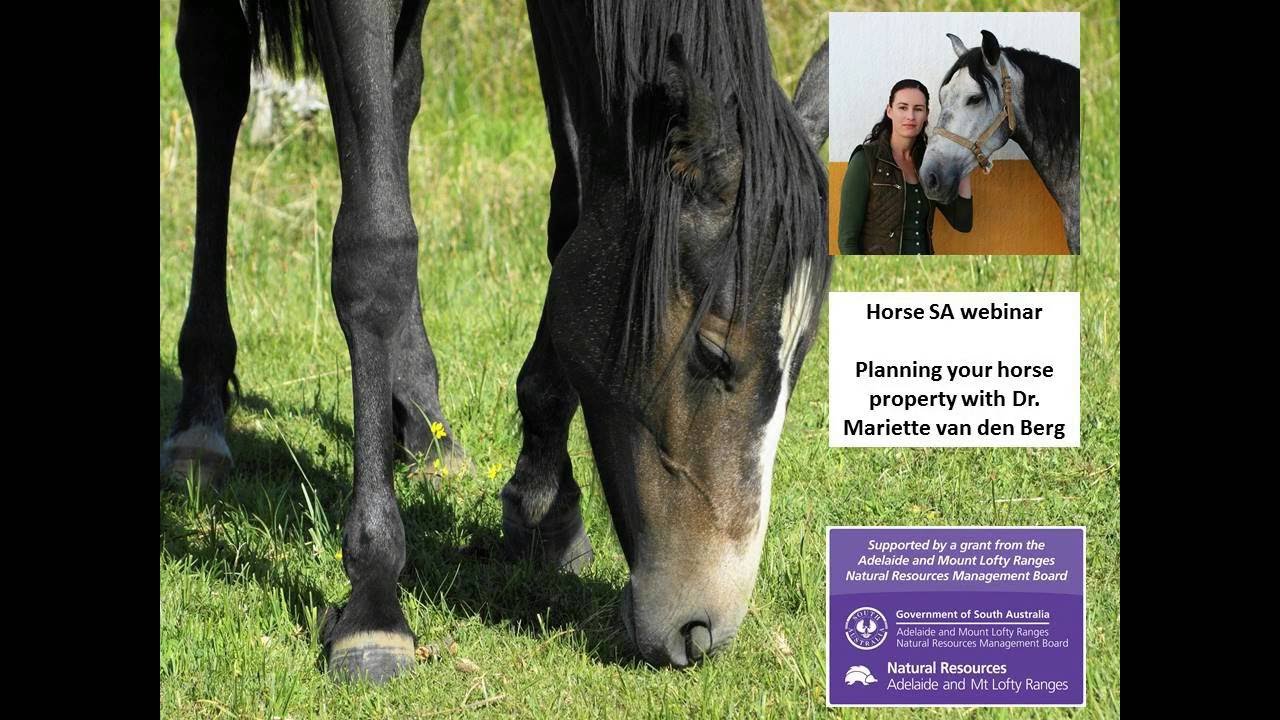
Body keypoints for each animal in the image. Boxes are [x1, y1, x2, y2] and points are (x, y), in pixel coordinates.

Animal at [161, 0, 831, 681]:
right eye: (713, 354)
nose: (703, 632)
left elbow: (572, 213)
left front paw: (545, 500)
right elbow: (378, 248)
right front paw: (373, 601)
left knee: (400, 96)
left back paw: (424, 424)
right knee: (215, 75)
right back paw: (201, 415)